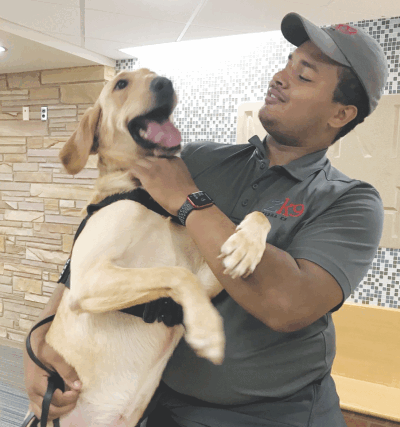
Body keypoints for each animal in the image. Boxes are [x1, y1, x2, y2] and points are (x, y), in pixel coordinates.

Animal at [28, 68, 272, 426]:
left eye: (156, 75)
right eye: (120, 84)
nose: (165, 84)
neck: (149, 198)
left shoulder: (208, 276)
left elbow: (260, 215)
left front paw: (245, 246)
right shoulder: (88, 279)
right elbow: (175, 274)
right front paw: (207, 328)